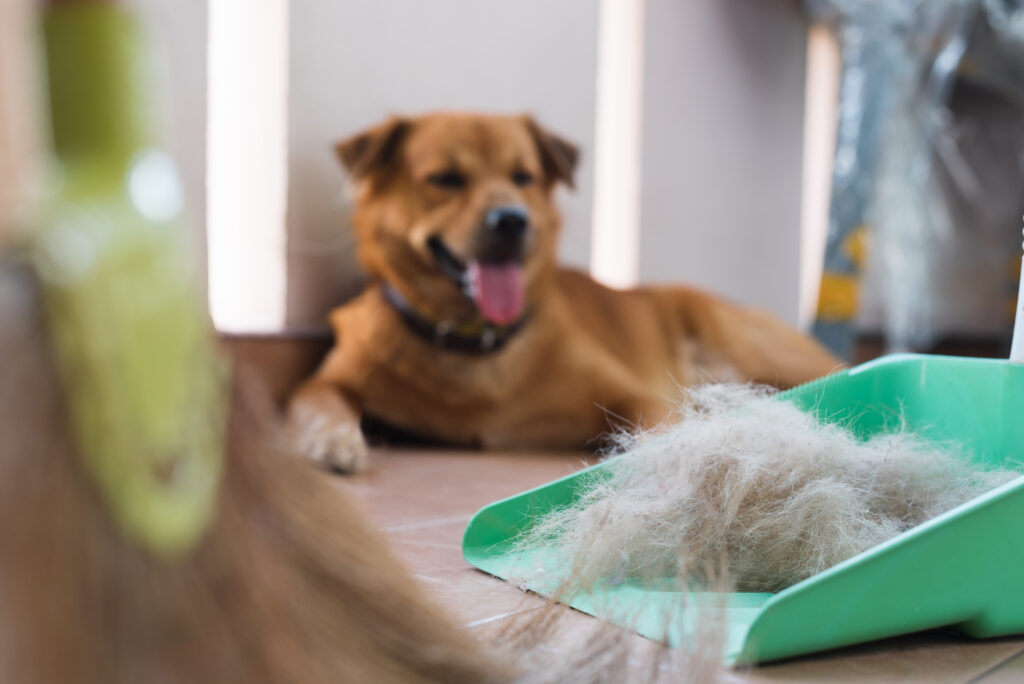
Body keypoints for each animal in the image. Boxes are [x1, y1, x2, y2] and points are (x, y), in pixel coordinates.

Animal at [286, 113, 839, 475]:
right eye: (444, 179)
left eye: (523, 176)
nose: (511, 221)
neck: (478, 346)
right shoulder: (329, 381)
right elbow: (317, 401)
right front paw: (333, 439)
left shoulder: (635, 392)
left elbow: (658, 422)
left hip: (756, 351)